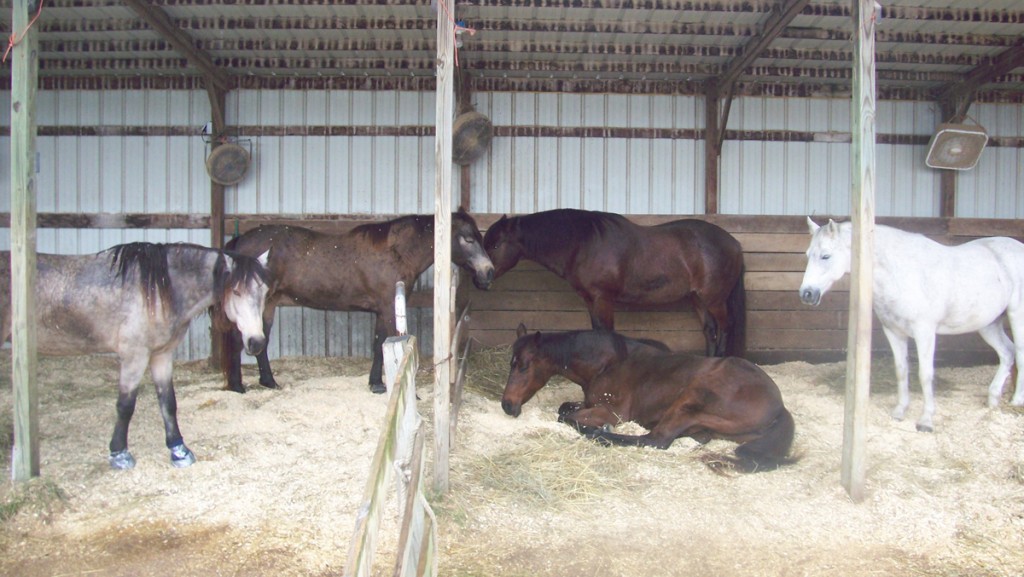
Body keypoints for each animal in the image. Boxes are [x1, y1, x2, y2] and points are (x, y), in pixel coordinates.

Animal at [0, 242, 270, 469]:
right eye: (236, 291)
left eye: (265, 292)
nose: (256, 342)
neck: (159, 291)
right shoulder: (135, 356)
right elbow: (125, 405)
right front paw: (120, 454)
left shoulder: (162, 355)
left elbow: (168, 402)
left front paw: (179, 450)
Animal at [483, 210, 749, 358]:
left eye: (495, 245)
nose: (482, 278)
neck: (583, 243)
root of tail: (734, 243)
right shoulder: (590, 300)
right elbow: (598, 331)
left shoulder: (603, 298)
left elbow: (608, 332)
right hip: (698, 299)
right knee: (710, 331)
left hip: (715, 299)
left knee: (726, 327)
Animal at [499, 325, 794, 473]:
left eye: (523, 366)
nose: (507, 405)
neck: (606, 364)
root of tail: (780, 408)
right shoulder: (591, 403)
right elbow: (564, 409)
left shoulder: (611, 412)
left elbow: (568, 418)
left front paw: (595, 428)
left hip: (690, 400)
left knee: (656, 440)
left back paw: (601, 435)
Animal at [798, 219, 1024, 430]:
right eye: (808, 255)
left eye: (826, 256)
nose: (807, 294)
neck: (904, 272)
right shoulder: (894, 332)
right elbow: (901, 370)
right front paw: (900, 411)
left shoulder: (924, 332)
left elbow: (925, 374)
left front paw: (926, 420)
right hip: (989, 324)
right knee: (1007, 353)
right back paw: (993, 400)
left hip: (1016, 316)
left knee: (1019, 353)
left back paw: (1016, 401)